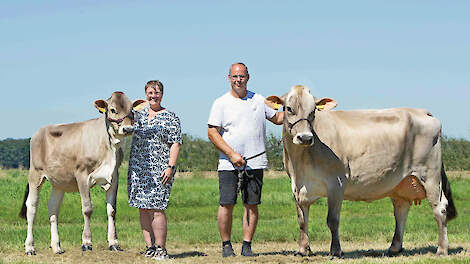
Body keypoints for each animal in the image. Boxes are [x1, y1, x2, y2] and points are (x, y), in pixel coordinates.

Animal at [19, 92, 145, 255]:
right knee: (32, 208)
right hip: (35, 174)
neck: (108, 146)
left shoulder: (114, 176)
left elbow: (112, 211)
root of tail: (39, 132)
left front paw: (114, 243)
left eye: (132, 110)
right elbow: (87, 209)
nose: (128, 129)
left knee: (53, 208)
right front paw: (86, 242)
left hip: (59, 182)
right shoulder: (82, 175)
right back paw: (29, 247)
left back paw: (56, 247)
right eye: (112, 109)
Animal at [266, 85, 458, 256]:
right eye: (288, 108)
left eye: (313, 111)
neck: (300, 162)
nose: (305, 137)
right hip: (400, 182)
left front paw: (336, 250)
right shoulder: (297, 187)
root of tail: (423, 112)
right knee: (401, 211)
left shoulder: (336, 183)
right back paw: (394, 248)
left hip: (430, 175)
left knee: (439, 209)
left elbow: (332, 220)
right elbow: (301, 219)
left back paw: (442, 249)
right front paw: (303, 249)